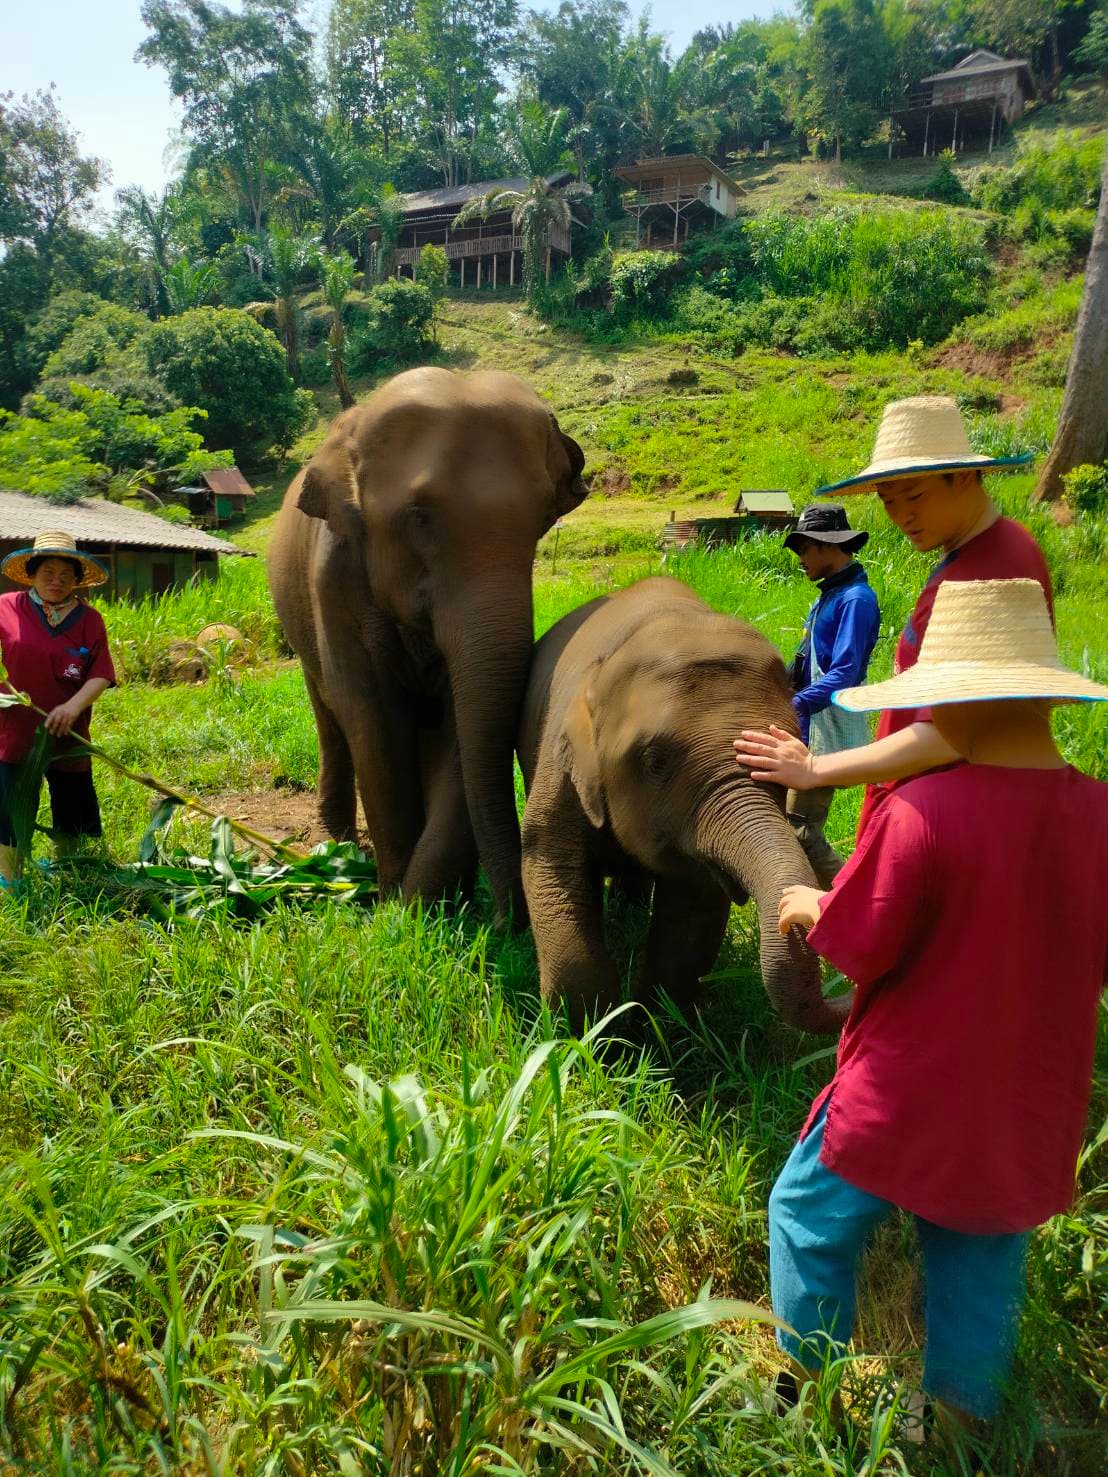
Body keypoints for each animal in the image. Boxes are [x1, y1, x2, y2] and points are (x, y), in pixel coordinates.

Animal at [268, 367, 587, 923]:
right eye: (419, 516)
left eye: (543, 519)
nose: (509, 919)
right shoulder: (335, 578)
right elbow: (372, 715)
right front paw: (398, 900)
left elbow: (455, 720)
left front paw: (435, 900)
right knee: (330, 717)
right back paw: (335, 844)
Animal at [518, 577, 851, 1034]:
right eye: (655, 761)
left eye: (792, 751)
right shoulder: (561, 765)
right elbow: (549, 864)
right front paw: (591, 1034)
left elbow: (693, 906)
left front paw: (653, 1028)